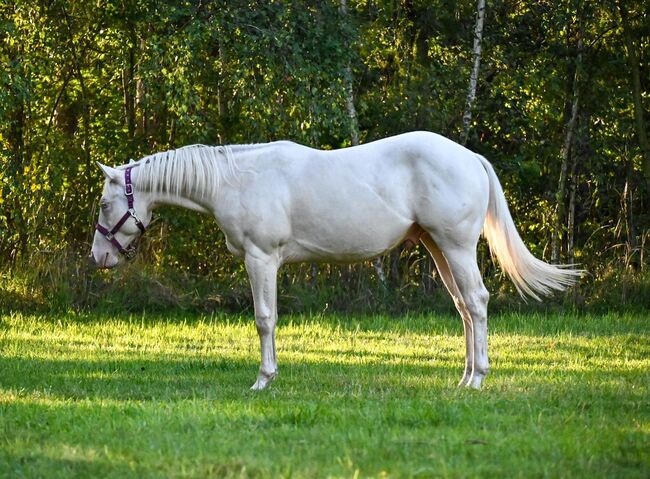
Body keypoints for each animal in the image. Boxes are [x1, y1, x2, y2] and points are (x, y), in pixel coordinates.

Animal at [90, 130, 576, 390]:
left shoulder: (260, 259)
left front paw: (264, 379)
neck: (237, 180)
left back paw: (478, 379)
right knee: (463, 308)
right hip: (438, 247)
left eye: (104, 204)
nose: (99, 257)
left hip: (455, 246)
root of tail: (470, 157)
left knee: (476, 302)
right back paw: (465, 376)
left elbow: (264, 318)